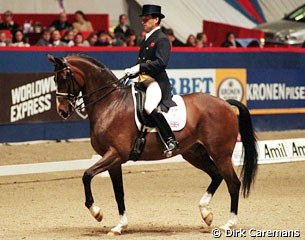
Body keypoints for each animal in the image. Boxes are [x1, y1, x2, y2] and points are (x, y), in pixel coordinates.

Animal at [47, 54, 256, 234]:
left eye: (65, 77)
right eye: (55, 79)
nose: (62, 111)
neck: (110, 104)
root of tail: (225, 103)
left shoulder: (116, 153)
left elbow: (87, 175)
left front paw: (97, 212)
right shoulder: (114, 159)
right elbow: (118, 192)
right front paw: (120, 226)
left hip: (221, 154)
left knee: (233, 183)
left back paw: (228, 224)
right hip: (194, 153)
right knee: (216, 175)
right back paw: (206, 213)